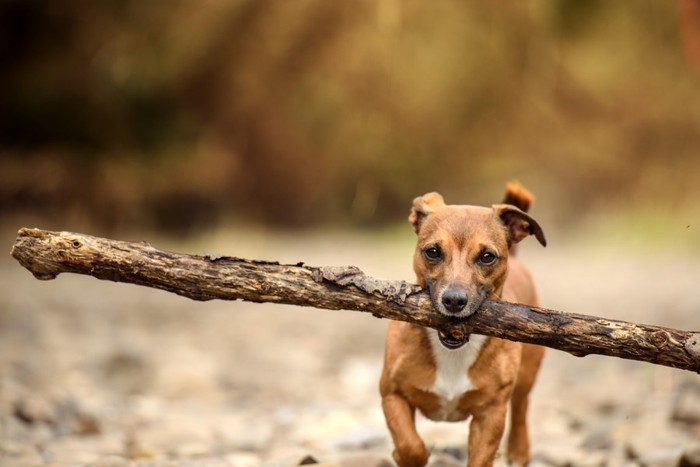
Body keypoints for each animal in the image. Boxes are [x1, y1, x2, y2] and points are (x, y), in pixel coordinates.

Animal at [382, 185, 548, 466]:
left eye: (487, 257)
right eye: (432, 252)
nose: (454, 300)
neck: (453, 351)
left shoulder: (491, 414)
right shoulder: (392, 394)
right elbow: (410, 446)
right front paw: (401, 454)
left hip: (526, 376)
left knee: (521, 408)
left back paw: (518, 451)